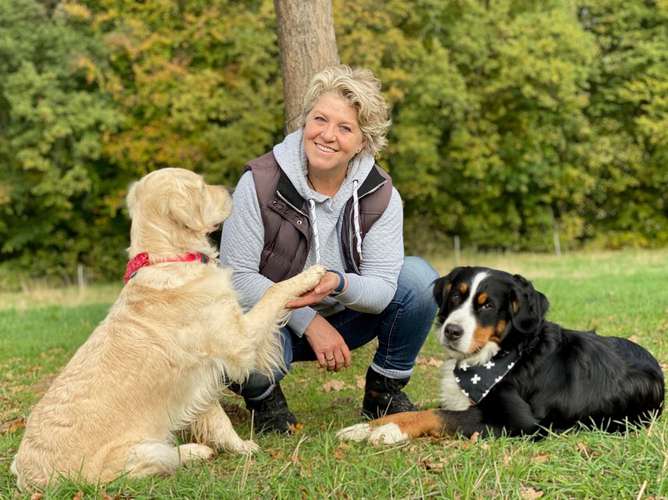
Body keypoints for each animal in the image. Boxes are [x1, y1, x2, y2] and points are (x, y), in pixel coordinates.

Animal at [340, 268, 664, 444]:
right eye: (455, 296)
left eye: (487, 305)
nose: (451, 331)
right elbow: (415, 410)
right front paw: (363, 428)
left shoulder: (519, 423)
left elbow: (439, 416)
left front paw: (389, 431)